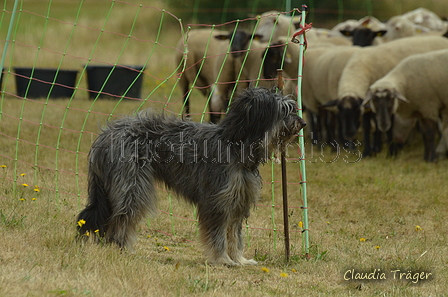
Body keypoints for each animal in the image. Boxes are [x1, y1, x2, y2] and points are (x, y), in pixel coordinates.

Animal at [77, 86, 306, 264]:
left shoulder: (238, 201)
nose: (303, 123)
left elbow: (235, 235)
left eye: (292, 108)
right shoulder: (217, 201)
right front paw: (223, 260)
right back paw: (122, 248)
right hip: (133, 187)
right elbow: (218, 235)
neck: (234, 145)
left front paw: (240, 260)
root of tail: (105, 135)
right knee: (122, 219)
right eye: (284, 110)